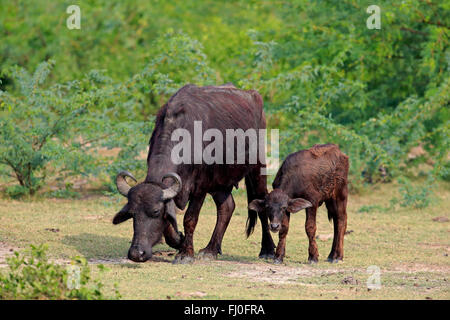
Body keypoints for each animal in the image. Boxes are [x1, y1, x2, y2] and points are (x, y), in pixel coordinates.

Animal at [112, 84, 274, 264]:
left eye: (155, 212)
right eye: (132, 214)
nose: (137, 253)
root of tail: (254, 96)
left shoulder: (200, 188)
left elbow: (189, 219)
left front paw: (186, 253)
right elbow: (169, 223)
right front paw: (179, 240)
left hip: (257, 167)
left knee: (261, 203)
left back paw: (267, 250)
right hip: (219, 182)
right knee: (227, 207)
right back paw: (211, 249)